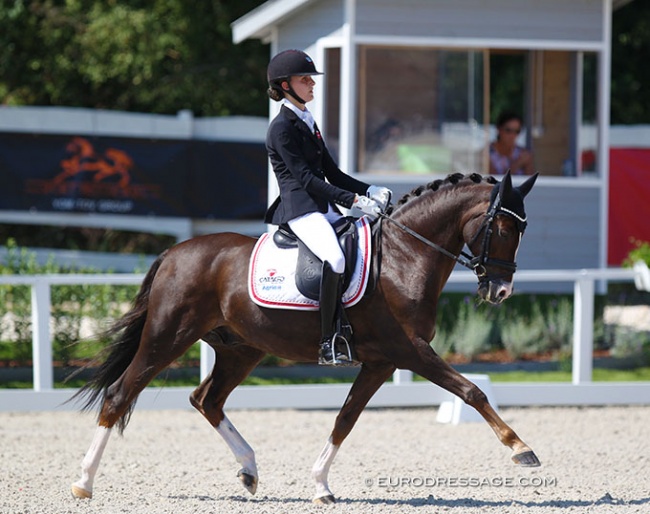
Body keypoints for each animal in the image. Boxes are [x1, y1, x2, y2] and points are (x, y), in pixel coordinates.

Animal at [69, 171, 536, 500]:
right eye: (503, 229)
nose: (501, 291)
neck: (404, 258)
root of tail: (174, 252)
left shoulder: (381, 361)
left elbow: (345, 418)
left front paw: (320, 485)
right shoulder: (411, 351)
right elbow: (471, 391)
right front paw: (520, 448)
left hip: (241, 350)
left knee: (207, 400)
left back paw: (250, 470)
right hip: (168, 336)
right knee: (120, 394)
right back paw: (83, 483)